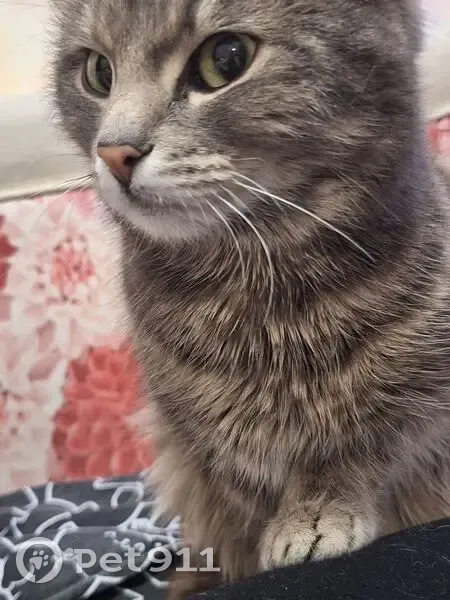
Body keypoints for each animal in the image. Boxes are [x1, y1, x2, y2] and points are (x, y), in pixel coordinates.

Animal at [50, 0, 450, 593]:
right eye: (99, 72)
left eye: (226, 59)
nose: (114, 151)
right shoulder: (198, 444)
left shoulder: (418, 410)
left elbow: (360, 453)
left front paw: (314, 517)